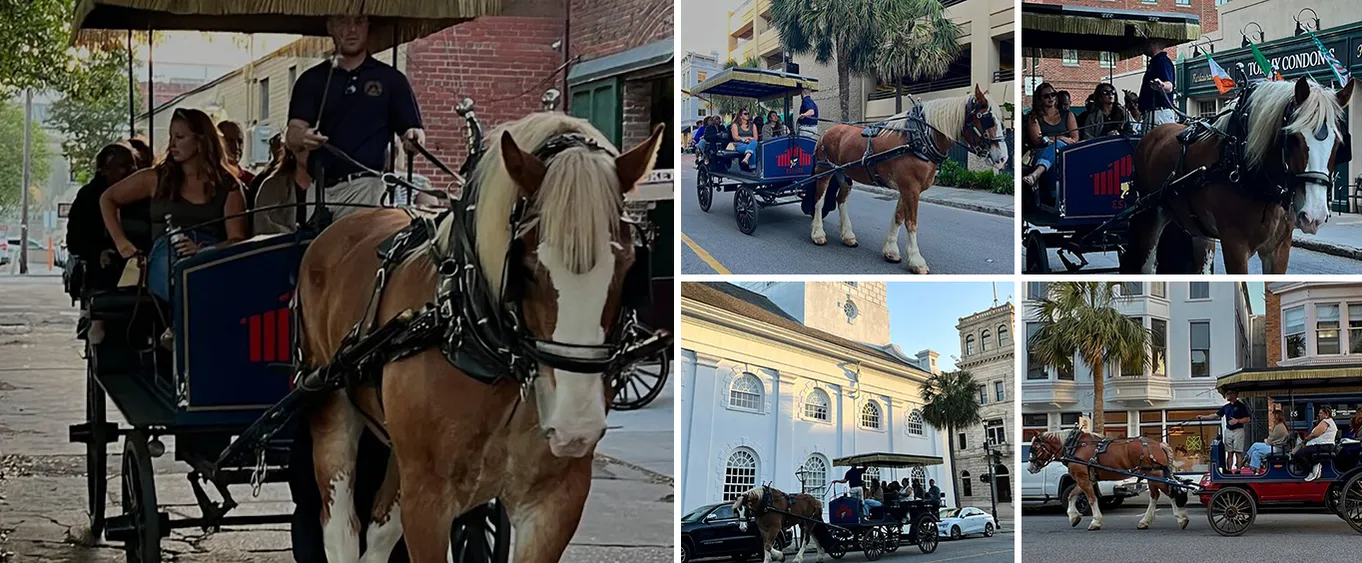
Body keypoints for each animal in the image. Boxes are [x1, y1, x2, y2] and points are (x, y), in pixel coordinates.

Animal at [298, 111, 664, 558]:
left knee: (381, 526)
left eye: (629, 266)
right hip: (329, 404)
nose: (575, 421)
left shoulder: (555, 500)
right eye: (526, 266)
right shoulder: (428, 500)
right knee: (341, 528)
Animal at [806, 83, 1013, 274]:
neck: (919, 139)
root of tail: (827, 132)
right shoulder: (910, 188)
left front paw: (891, 250)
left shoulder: (908, 188)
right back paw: (817, 233)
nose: (1003, 158)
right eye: (987, 120)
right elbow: (911, 223)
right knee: (818, 200)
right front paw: (916, 260)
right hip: (824, 170)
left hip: (844, 174)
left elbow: (899, 217)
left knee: (842, 200)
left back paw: (848, 235)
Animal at [1024, 425, 1187, 531]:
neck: (1074, 446)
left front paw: (1095, 521)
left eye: (1034, 448)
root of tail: (1159, 444)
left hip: (1154, 474)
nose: (1029, 468)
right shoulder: (1086, 479)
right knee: (1154, 496)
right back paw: (1145, 521)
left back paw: (1181, 518)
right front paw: (1073, 517)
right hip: (1151, 474)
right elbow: (1072, 495)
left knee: (1170, 493)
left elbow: (1091, 499)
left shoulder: (1083, 478)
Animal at [1127, 76, 1351, 274]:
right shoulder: (1235, 246)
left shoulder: (1279, 249)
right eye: (1294, 138)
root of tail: (1153, 133)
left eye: (1338, 143)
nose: (1314, 215)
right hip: (1149, 215)